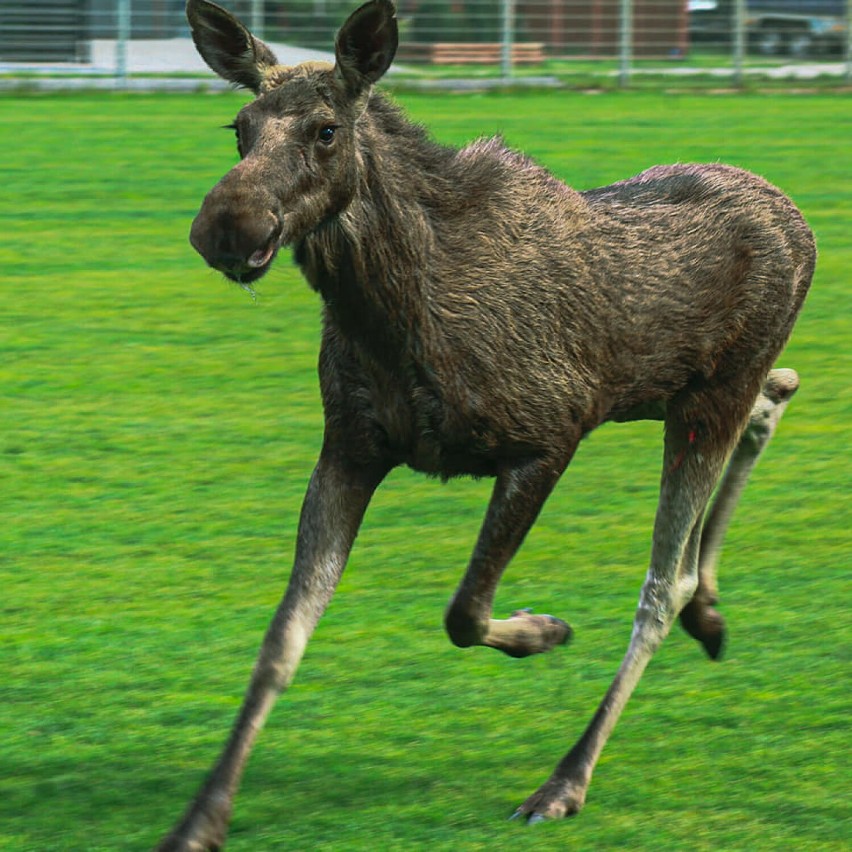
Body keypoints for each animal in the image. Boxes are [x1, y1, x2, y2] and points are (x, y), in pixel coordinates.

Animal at [160, 3, 820, 848]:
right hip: (684, 390)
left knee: (658, 586)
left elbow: (465, 610)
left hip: (708, 397)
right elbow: (281, 640)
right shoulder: (349, 449)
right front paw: (202, 817)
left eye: (326, 129)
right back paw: (709, 610)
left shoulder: (548, 436)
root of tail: (798, 220)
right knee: (777, 396)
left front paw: (543, 630)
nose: (227, 227)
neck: (392, 315)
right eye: (238, 128)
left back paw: (566, 778)